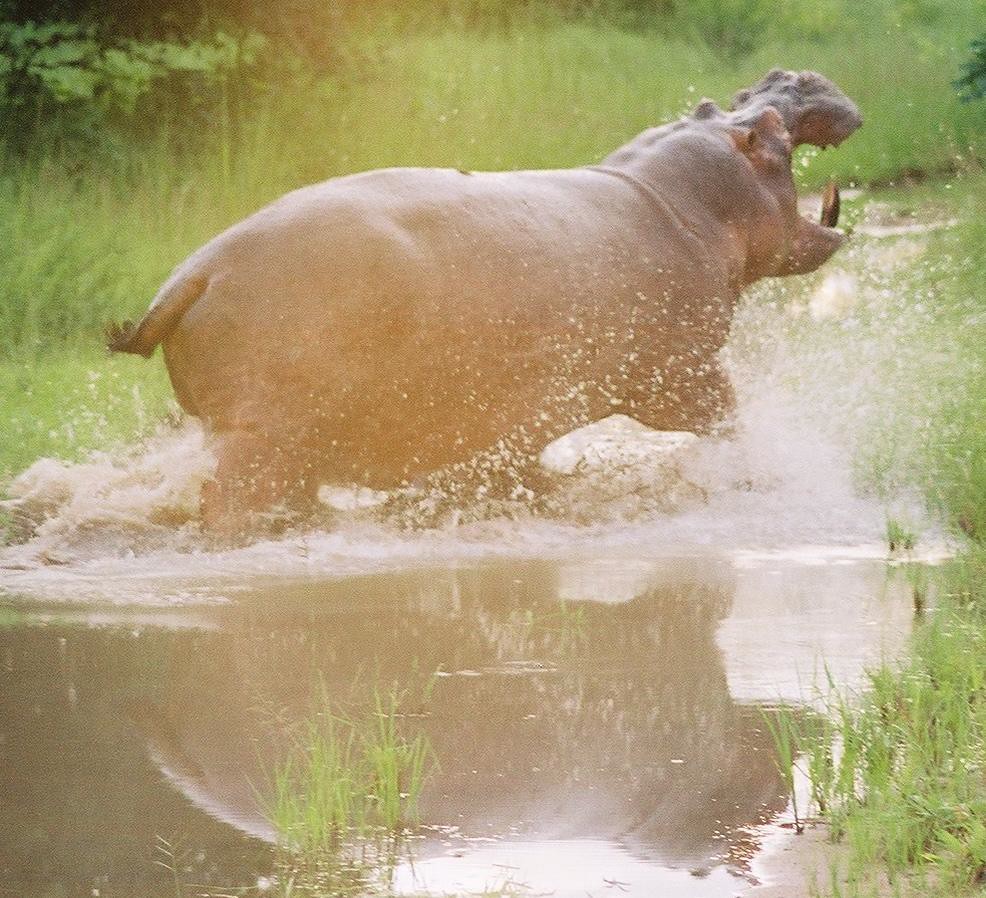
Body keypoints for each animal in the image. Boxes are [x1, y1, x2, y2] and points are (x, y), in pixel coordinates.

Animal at [107, 69, 860, 530]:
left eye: (724, 101)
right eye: (766, 123)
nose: (789, 79)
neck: (680, 195)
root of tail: (195, 274)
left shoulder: (507, 422)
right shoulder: (680, 375)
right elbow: (730, 422)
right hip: (263, 440)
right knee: (228, 500)